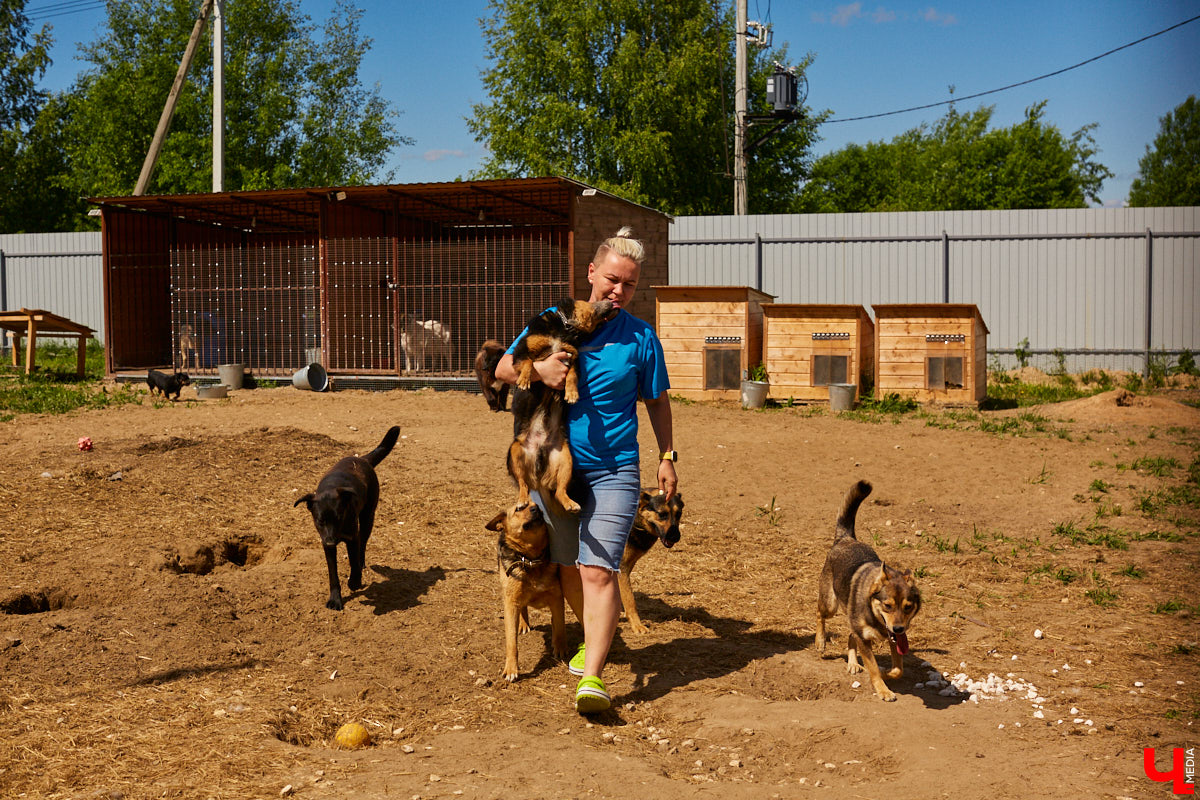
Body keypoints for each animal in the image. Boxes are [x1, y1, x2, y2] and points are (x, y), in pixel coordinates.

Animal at [295, 429, 403, 609]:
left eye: (339, 518)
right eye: (320, 521)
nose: (331, 541)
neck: (330, 488)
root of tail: (363, 459)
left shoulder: (352, 537)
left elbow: (353, 560)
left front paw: (355, 582)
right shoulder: (327, 545)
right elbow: (333, 574)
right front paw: (335, 599)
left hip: (367, 518)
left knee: (363, 545)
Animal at [482, 503, 566, 681]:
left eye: (535, 505)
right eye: (519, 509)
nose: (537, 508)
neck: (531, 559)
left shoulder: (556, 597)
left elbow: (560, 625)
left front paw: (560, 648)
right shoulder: (510, 602)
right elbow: (511, 642)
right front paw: (511, 669)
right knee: (523, 608)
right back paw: (523, 624)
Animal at [508, 298, 619, 513]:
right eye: (594, 302)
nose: (611, 301)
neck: (565, 328)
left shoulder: (572, 357)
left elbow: (572, 375)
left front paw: (572, 393)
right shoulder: (521, 352)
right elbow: (528, 362)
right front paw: (524, 380)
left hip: (566, 459)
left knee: (560, 491)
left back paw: (570, 503)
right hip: (514, 451)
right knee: (523, 485)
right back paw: (522, 500)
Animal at [619, 491, 686, 633]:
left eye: (679, 514)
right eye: (662, 514)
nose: (675, 537)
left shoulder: (627, 567)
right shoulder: (622, 568)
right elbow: (630, 599)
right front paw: (637, 625)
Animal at [811, 482, 921, 700]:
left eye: (908, 607)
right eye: (887, 605)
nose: (899, 628)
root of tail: (846, 538)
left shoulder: (894, 640)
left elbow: (897, 669)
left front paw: (886, 674)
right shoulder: (865, 638)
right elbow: (874, 668)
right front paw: (883, 690)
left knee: (849, 636)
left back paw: (853, 664)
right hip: (830, 604)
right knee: (819, 613)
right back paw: (820, 642)